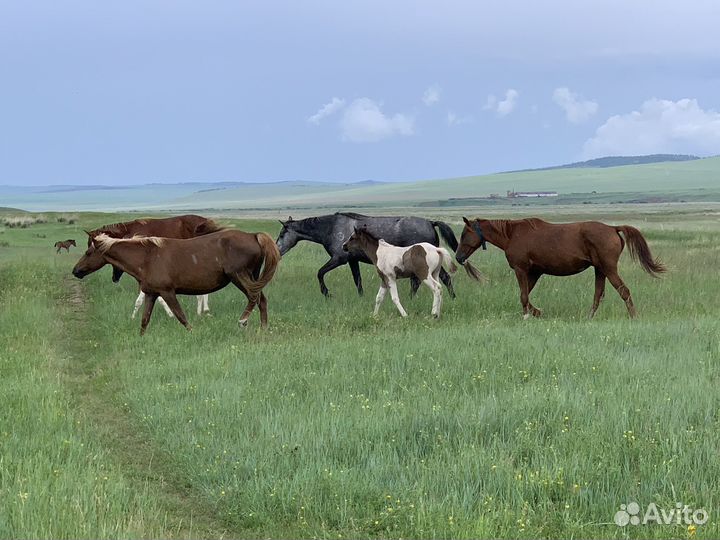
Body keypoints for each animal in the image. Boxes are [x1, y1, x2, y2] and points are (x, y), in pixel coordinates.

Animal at [72, 230, 280, 334]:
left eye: (88, 252)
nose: (76, 271)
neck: (147, 258)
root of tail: (254, 235)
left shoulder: (167, 292)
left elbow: (181, 316)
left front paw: (192, 333)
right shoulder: (151, 293)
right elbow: (144, 321)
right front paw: (141, 339)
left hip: (239, 276)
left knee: (254, 298)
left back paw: (243, 321)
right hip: (251, 277)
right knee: (262, 300)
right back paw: (263, 329)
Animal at [276, 212, 478, 298]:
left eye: (282, 233)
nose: (277, 250)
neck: (331, 228)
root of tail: (430, 222)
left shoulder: (339, 259)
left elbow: (319, 273)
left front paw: (326, 293)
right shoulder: (352, 261)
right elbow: (357, 281)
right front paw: (361, 298)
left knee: (422, 281)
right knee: (443, 278)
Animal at [455, 217, 666, 319]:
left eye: (465, 234)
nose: (458, 257)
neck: (512, 235)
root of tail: (612, 228)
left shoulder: (522, 270)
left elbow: (523, 296)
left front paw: (529, 315)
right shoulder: (535, 272)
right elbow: (526, 295)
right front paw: (536, 312)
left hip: (609, 269)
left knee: (624, 291)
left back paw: (634, 317)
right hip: (600, 270)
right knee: (598, 295)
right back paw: (589, 317)